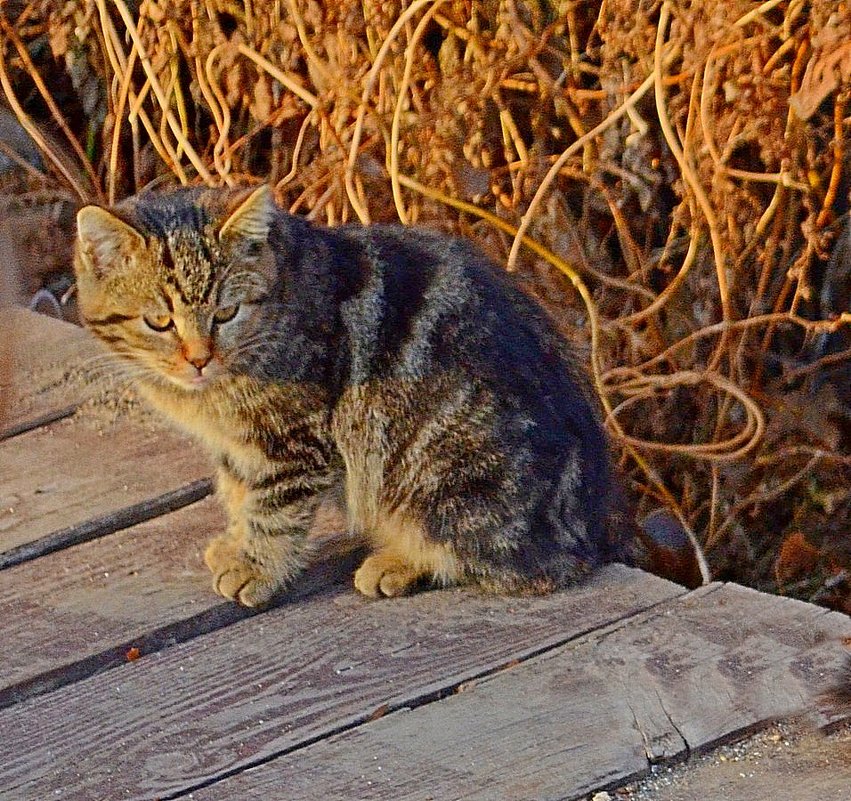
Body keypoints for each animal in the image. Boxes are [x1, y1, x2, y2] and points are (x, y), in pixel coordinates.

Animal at [75, 184, 624, 604]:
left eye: (226, 313)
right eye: (159, 321)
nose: (198, 358)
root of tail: (585, 529)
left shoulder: (293, 439)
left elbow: (273, 510)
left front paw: (256, 566)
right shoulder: (237, 443)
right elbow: (237, 491)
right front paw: (236, 541)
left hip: (441, 473)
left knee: (525, 569)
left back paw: (401, 561)